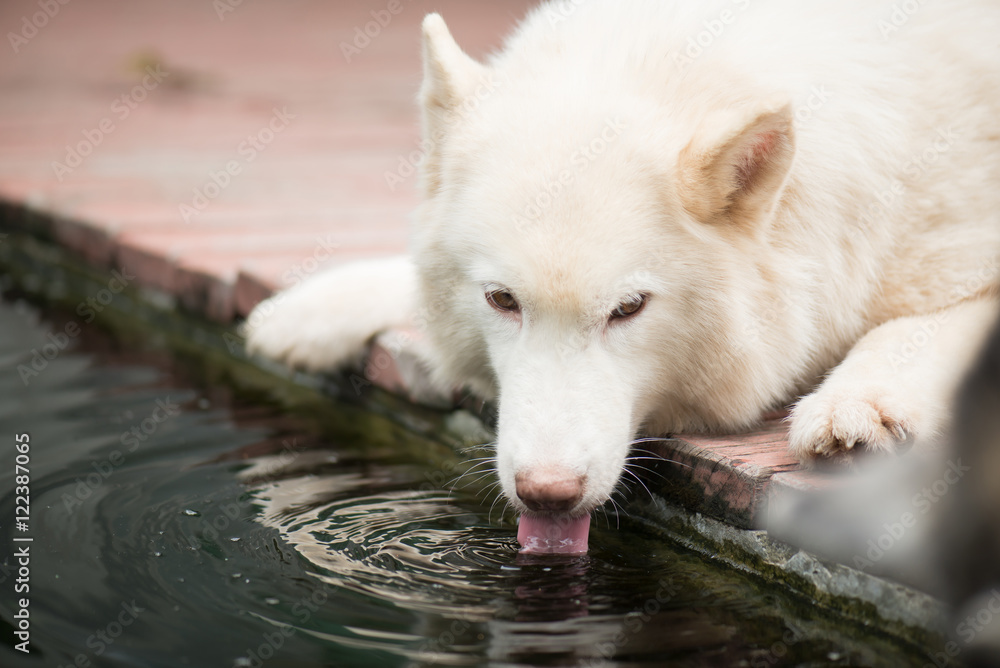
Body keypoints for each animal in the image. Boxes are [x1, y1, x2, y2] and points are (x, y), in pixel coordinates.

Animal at [242, 0, 1000, 552]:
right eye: (501, 300)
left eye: (629, 308)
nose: (546, 493)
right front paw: (309, 310)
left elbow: (915, 328)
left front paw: (861, 406)